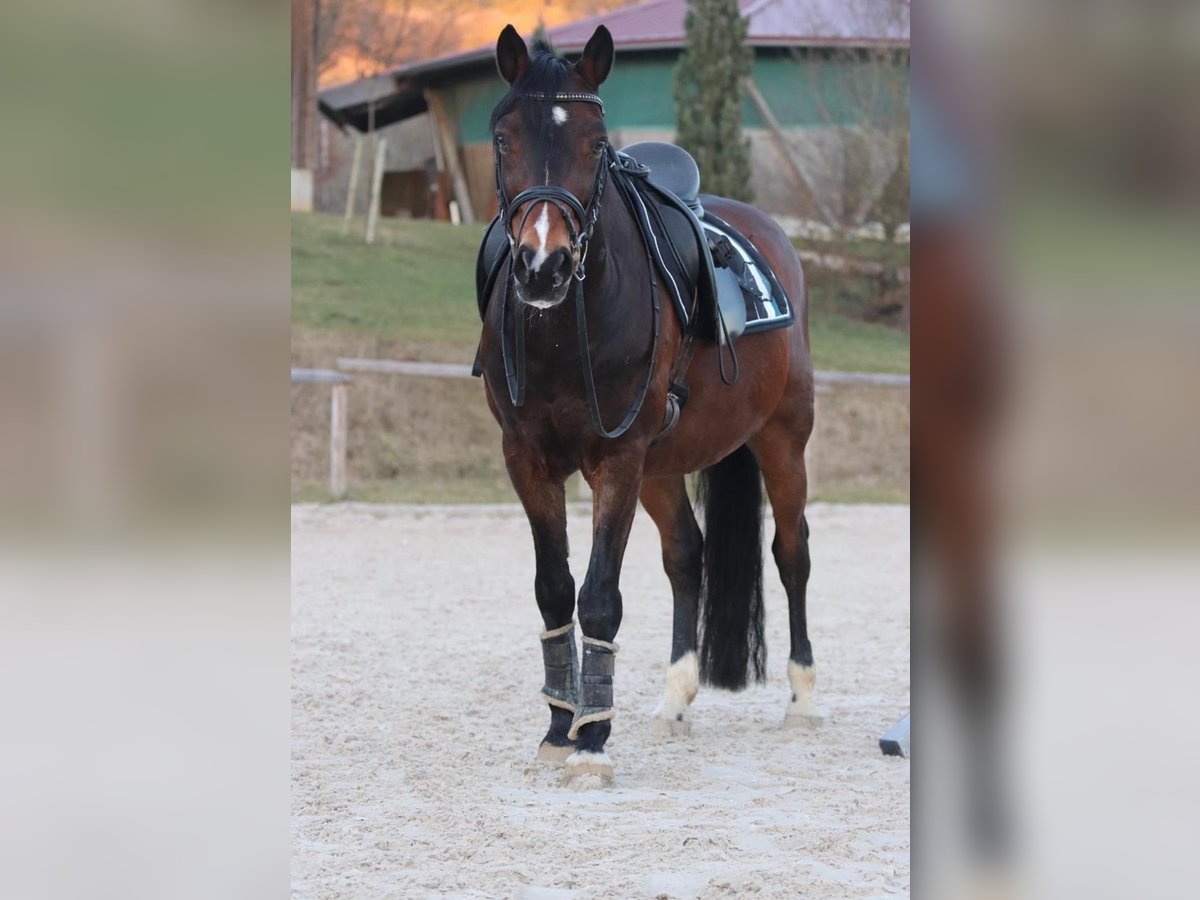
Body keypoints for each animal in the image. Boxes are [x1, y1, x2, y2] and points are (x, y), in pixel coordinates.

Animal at [482, 24, 820, 787]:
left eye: (595, 143)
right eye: (504, 138)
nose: (541, 266)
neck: (565, 326)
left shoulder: (618, 457)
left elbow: (600, 597)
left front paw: (593, 744)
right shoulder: (528, 460)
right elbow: (555, 590)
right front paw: (560, 728)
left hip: (781, 440)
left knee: (792, 552)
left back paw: (803, 697)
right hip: (664, 466)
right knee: (687, 557)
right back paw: (676, 698)